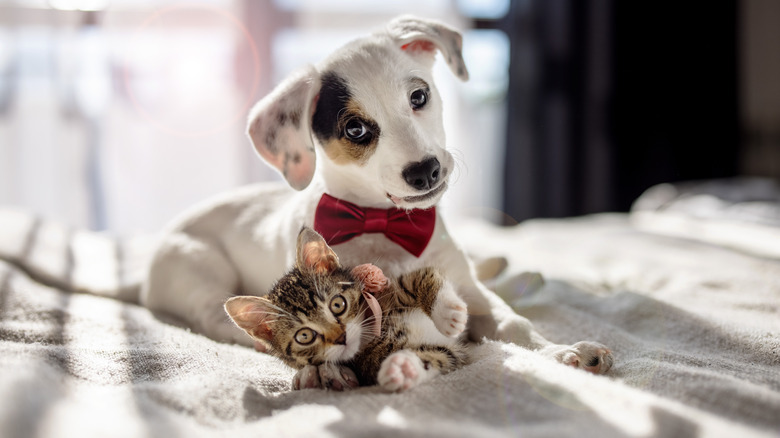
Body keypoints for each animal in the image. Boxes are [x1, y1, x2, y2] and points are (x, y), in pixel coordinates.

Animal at [225, 228, 470, 392]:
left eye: (337, 304)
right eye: (304, 336)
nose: (341, 338)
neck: (374, 333)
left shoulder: (393, 289)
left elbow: (421, 276)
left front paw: (449, 313)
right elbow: (438, 356)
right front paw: (403, 369)